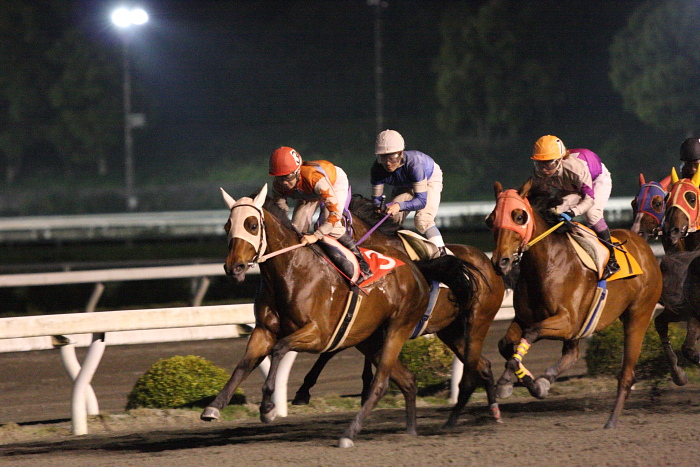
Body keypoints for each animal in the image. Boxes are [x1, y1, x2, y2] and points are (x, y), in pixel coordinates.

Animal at [200, 185, 478, 448]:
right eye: (227, 226)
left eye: (252, 224)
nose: (233, 267)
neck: (291, 271)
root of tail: (417, 269)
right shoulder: (264, 330)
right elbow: (244, 363)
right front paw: (214, 406)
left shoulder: (319, 334)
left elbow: (280, 349)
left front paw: (268, 408)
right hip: (372, 339)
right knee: (408, 380)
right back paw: (409, 430)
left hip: (398, 329)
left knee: (382, 382)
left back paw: (350, 434)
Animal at [292, 196, 506, 430]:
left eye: (335, 223)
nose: (316, 245)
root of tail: (489, 263)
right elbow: (333, 349)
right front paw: (305, 391)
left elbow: (333, 349)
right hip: (452, 331)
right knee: (483, 365)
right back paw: (493, 412)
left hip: (478, 321)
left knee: (473, 369)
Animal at [486, 177, 660, 430]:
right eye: (491, 219)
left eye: (519, 216)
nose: (501, 262)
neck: (547, 264)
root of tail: (643, 244)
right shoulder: (524, 317)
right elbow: (505, 344)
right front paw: (519, 382)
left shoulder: (568, 321)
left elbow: (531, 332)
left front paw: (521, 382)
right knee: (573, 354)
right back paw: (545, 381)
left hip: (638, 315)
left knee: (627, 373)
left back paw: (611, 421)